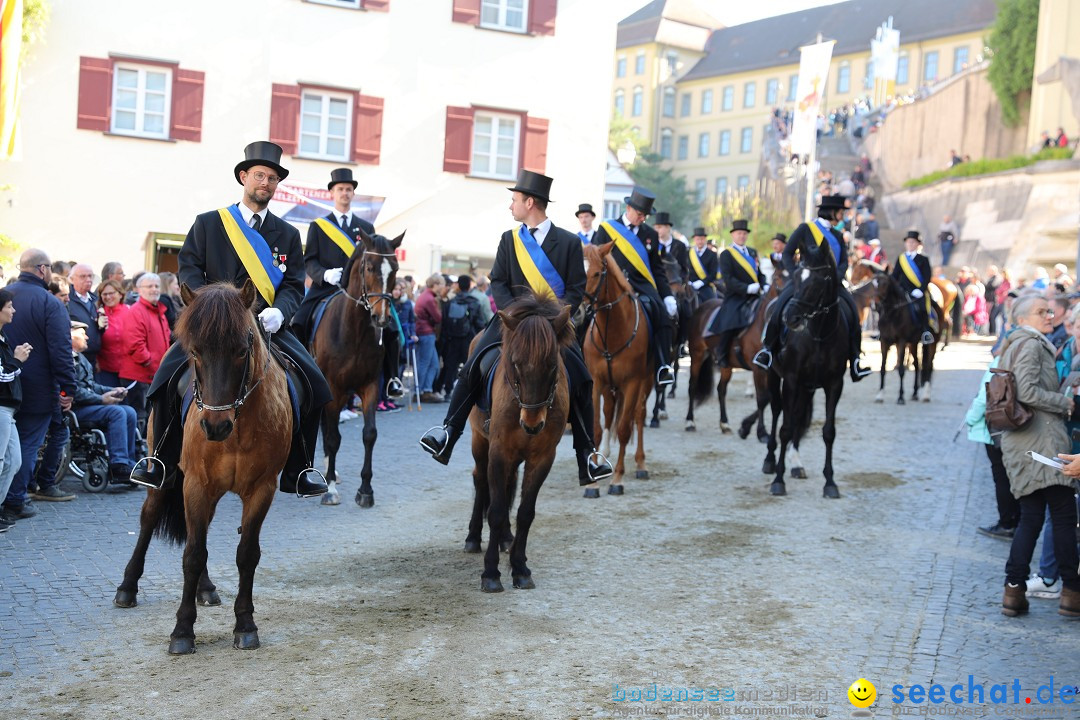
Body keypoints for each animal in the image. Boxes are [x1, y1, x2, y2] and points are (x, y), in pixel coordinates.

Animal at [114, 280, 291, 651]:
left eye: (241, 350)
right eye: (195, 352)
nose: (214, 426)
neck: (238, 427)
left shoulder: (262, 488)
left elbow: (246, 553)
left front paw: (245, 625)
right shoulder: (195, 483)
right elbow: (193, 555)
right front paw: (182, 630)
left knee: (203, 529)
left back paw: (205, 589)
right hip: (166, 474)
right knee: (151, 518)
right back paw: (127, 587)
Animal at [313, 229, 406, 507]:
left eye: (395, 269)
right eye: (369, 267)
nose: (382, 318)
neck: (353, 331)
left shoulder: (369, 386)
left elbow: (369, 434)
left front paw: (366, 490)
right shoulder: (333, 388)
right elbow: (334, 438)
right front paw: (331, 490)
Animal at [464, 289, 574, 595]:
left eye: (552, 365)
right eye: (515, 362)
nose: (532, 424)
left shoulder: (542, 457)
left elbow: (525, 512)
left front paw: (520, 568)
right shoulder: (498, 452)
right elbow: (496, 510)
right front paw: (491, 574)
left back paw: (505, 539)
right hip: (479, 443)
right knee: (481, 481)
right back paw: (474, 537)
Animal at [583, 241, 648, 490]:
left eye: (597, 274)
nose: (579, 309)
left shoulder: (632, 383)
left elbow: (623, 429)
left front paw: (618, 478)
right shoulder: (596, 381)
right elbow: (596, 428)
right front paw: (593, 480)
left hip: (646, 382)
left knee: (638, 416)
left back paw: (640, 463)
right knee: (610, 413)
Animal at [764, 243, 846, 500]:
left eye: (818, 282)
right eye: (798, 279)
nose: (790, 318)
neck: (819, 334)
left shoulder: (834, 384)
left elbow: (829, 432)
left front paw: (830, 482)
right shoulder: (790, 379)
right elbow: (785, 428)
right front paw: (778, 481)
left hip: (807, 387)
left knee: (798, 414)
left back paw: (796, 464)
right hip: (773, 375)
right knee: (777, 410)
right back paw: (769, 460)